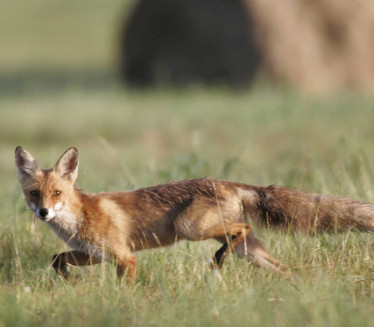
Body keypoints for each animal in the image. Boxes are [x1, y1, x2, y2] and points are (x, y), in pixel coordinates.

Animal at [14, 147, 374, 282]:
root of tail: (228, 182)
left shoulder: (125, 257)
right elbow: (56, 259)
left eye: (57, 193)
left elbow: (123, 286)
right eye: (35, 194)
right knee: (280, 266)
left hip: (188, 226)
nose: (44, 212)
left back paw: (217, 261)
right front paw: (68, 279)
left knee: (241, 228)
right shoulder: (93, 254)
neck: (78, 217)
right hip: (249, 253)